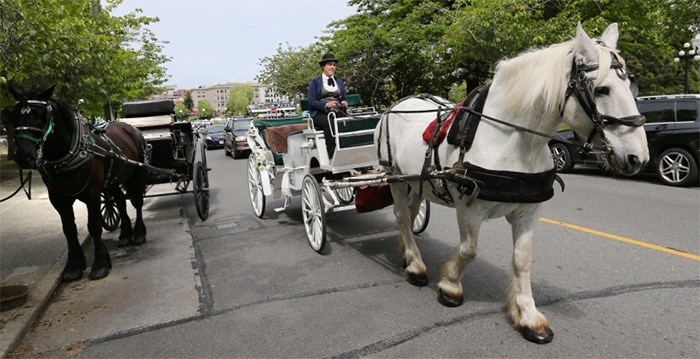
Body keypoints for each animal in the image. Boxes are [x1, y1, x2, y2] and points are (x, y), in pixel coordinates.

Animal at [5, 83, 148, 282]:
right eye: (13, 116)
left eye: (41, 115)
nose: (24, 157)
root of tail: (130, 127)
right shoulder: (57, 198)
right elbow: (69, 229)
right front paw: (74, 266)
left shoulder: (93, 193)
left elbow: (94, 226)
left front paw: (100, 264)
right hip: (112, 180)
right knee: (120, 200)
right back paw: (126, 235)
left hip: (136, 173)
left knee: (137, 201)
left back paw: (139, 234)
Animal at [374, 23, 648, 344]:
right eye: (602, 89)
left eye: (631, 86)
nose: (638, 157)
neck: (513, 139)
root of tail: (399, 103)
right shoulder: (469, 208)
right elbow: (469, 250)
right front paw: (450, 287)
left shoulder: (528, 211)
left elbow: (522, 261)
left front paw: (529, 316)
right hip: (393, 175)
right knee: (402, 217)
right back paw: (416, 266)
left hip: (415, 180)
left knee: (410, 212)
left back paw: (409, 255)